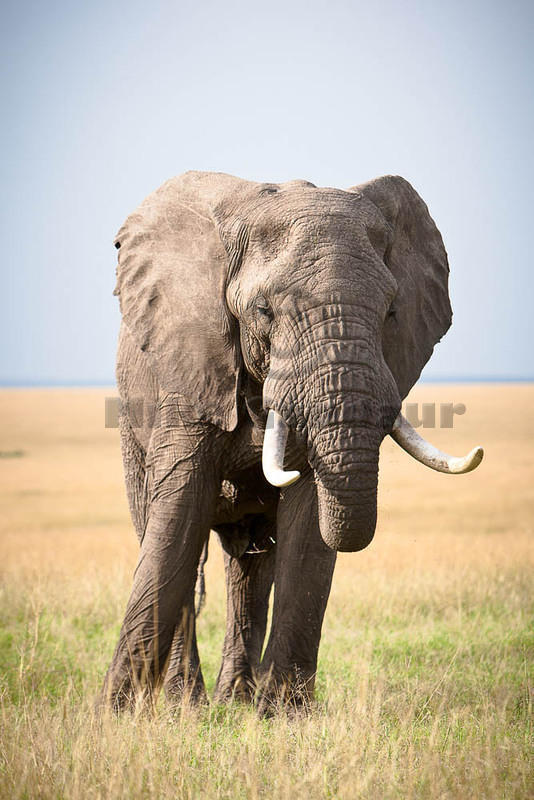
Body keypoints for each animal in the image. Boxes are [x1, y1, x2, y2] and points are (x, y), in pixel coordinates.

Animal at [101, 169, 486, 712]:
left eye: (391, 310)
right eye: (264, 310)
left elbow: (306, 524)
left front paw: (282, 715)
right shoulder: (191, 365)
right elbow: (177, 516)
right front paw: (112, 716)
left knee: (249, 569)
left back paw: (234, 701)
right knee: (166, 533)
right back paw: (190, 704)